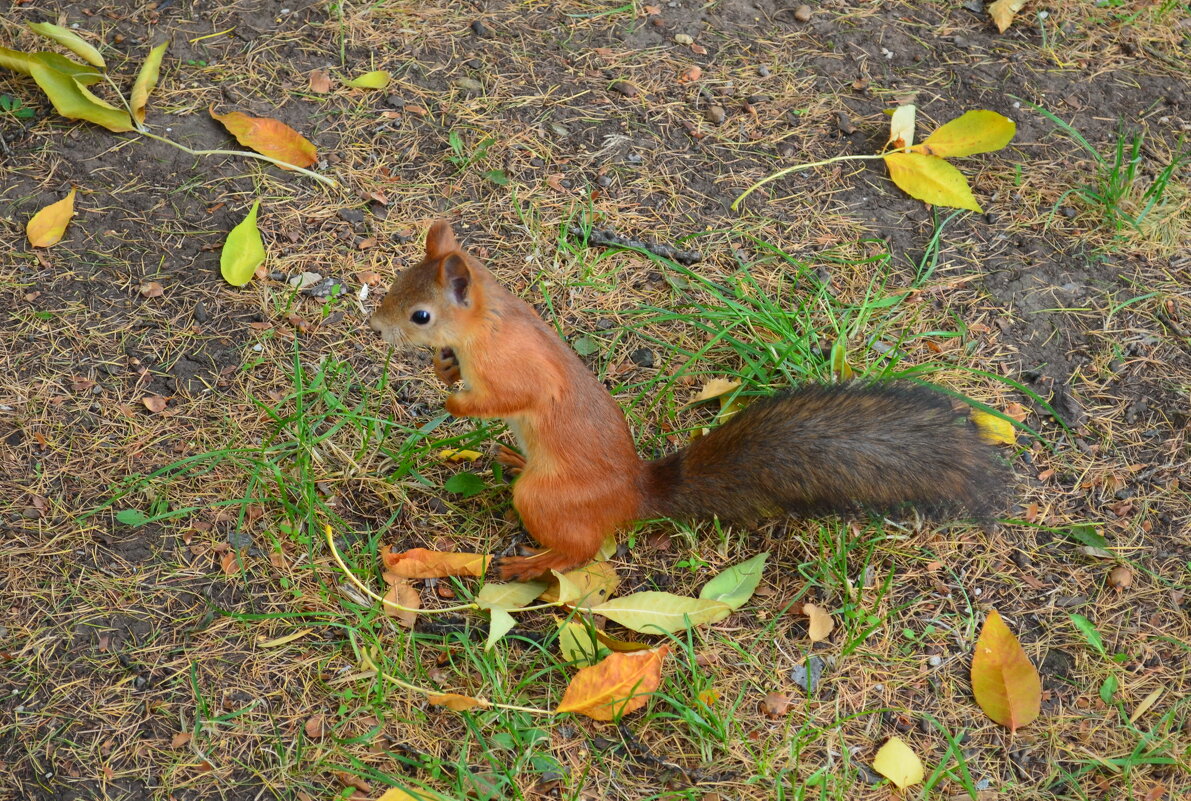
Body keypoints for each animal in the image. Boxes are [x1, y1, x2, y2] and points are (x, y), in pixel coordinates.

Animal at [369, 220, 1005, 580]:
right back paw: (509, 457)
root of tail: (632, 496)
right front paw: (443, 368)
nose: (377, 326)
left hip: (546, 499)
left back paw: (533, 563)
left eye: (421, 314)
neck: (489, 325)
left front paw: (456, 404)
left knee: (581, 550)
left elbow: (507, 398)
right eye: (398, 282)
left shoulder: (520, 372)